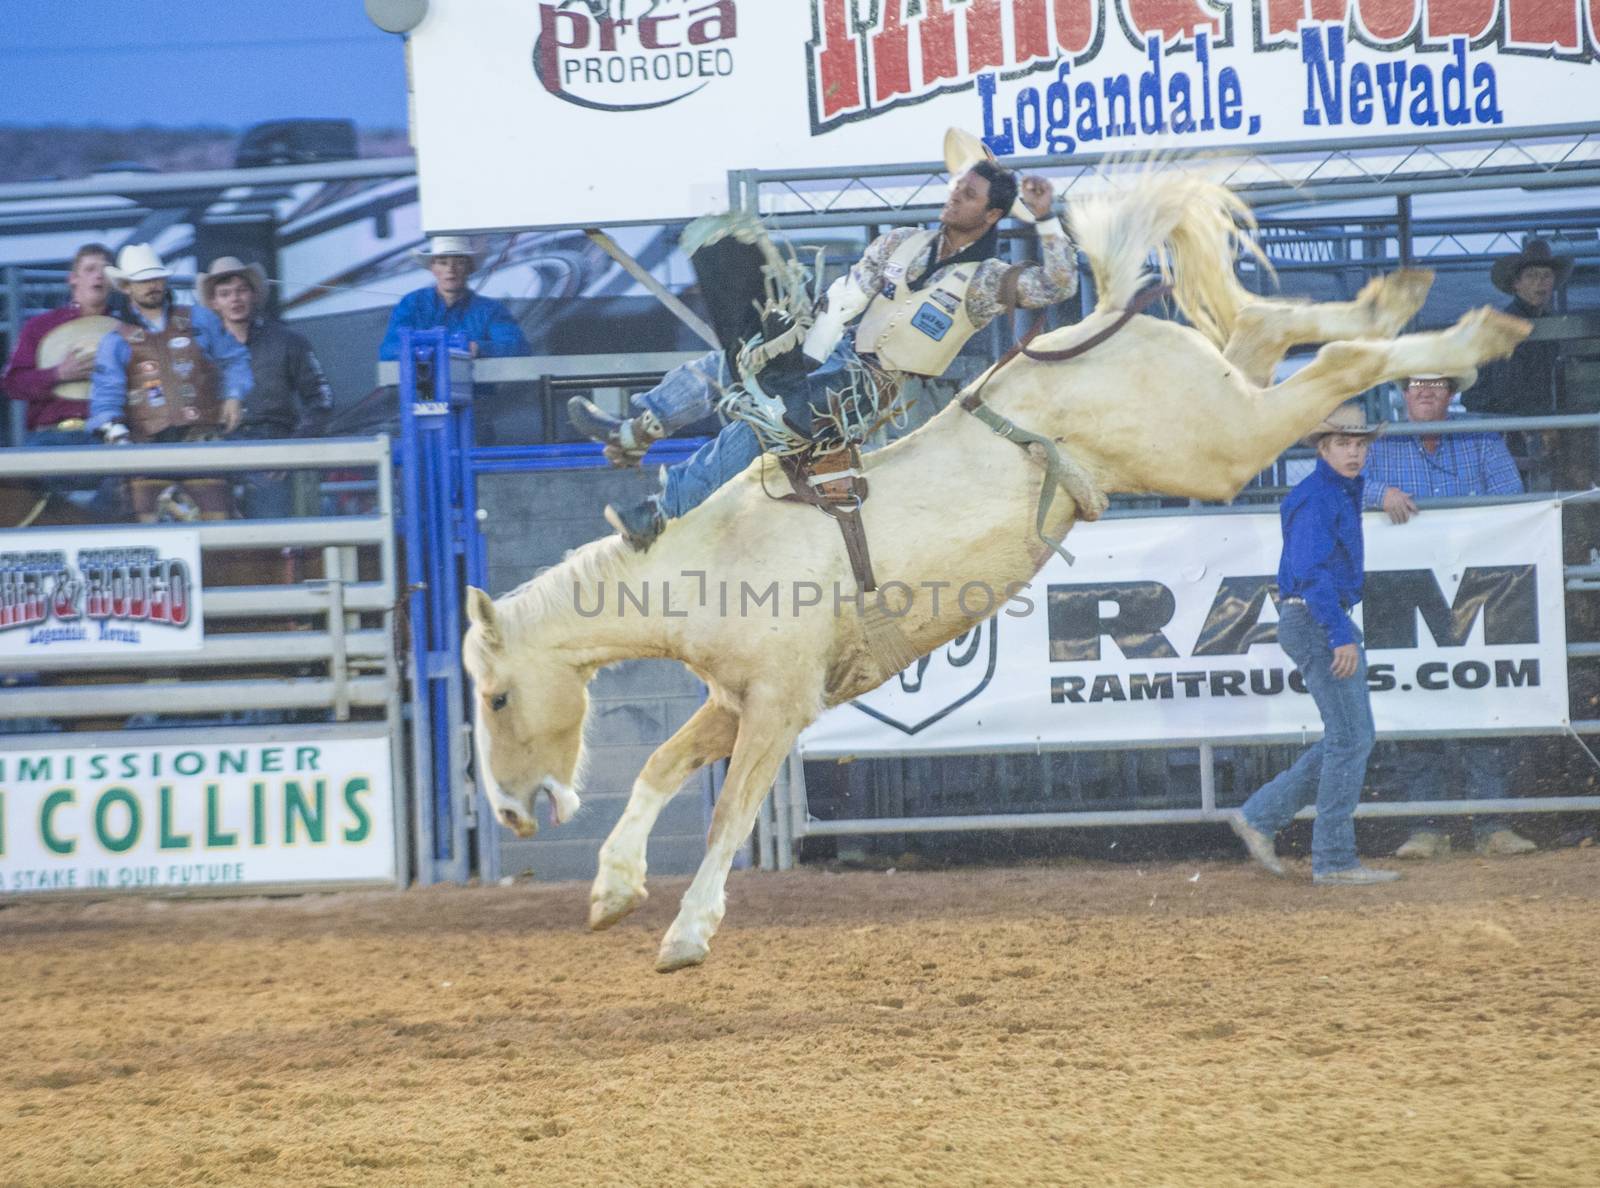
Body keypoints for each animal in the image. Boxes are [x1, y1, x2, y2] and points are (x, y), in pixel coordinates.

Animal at [460, 172, 1523, 973]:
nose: (510, 813)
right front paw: (611, 889)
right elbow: (657, 767)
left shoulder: (780, 706)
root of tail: (1092, 323)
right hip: (1217, 404)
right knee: (1269, 331)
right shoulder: (737, 699)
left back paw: (1473, 336)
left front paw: (685, 932)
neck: (706, 555)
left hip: (1215, 446)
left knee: (1333, 365)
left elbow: (725, 810)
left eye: (499, 697)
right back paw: (1389, 298)